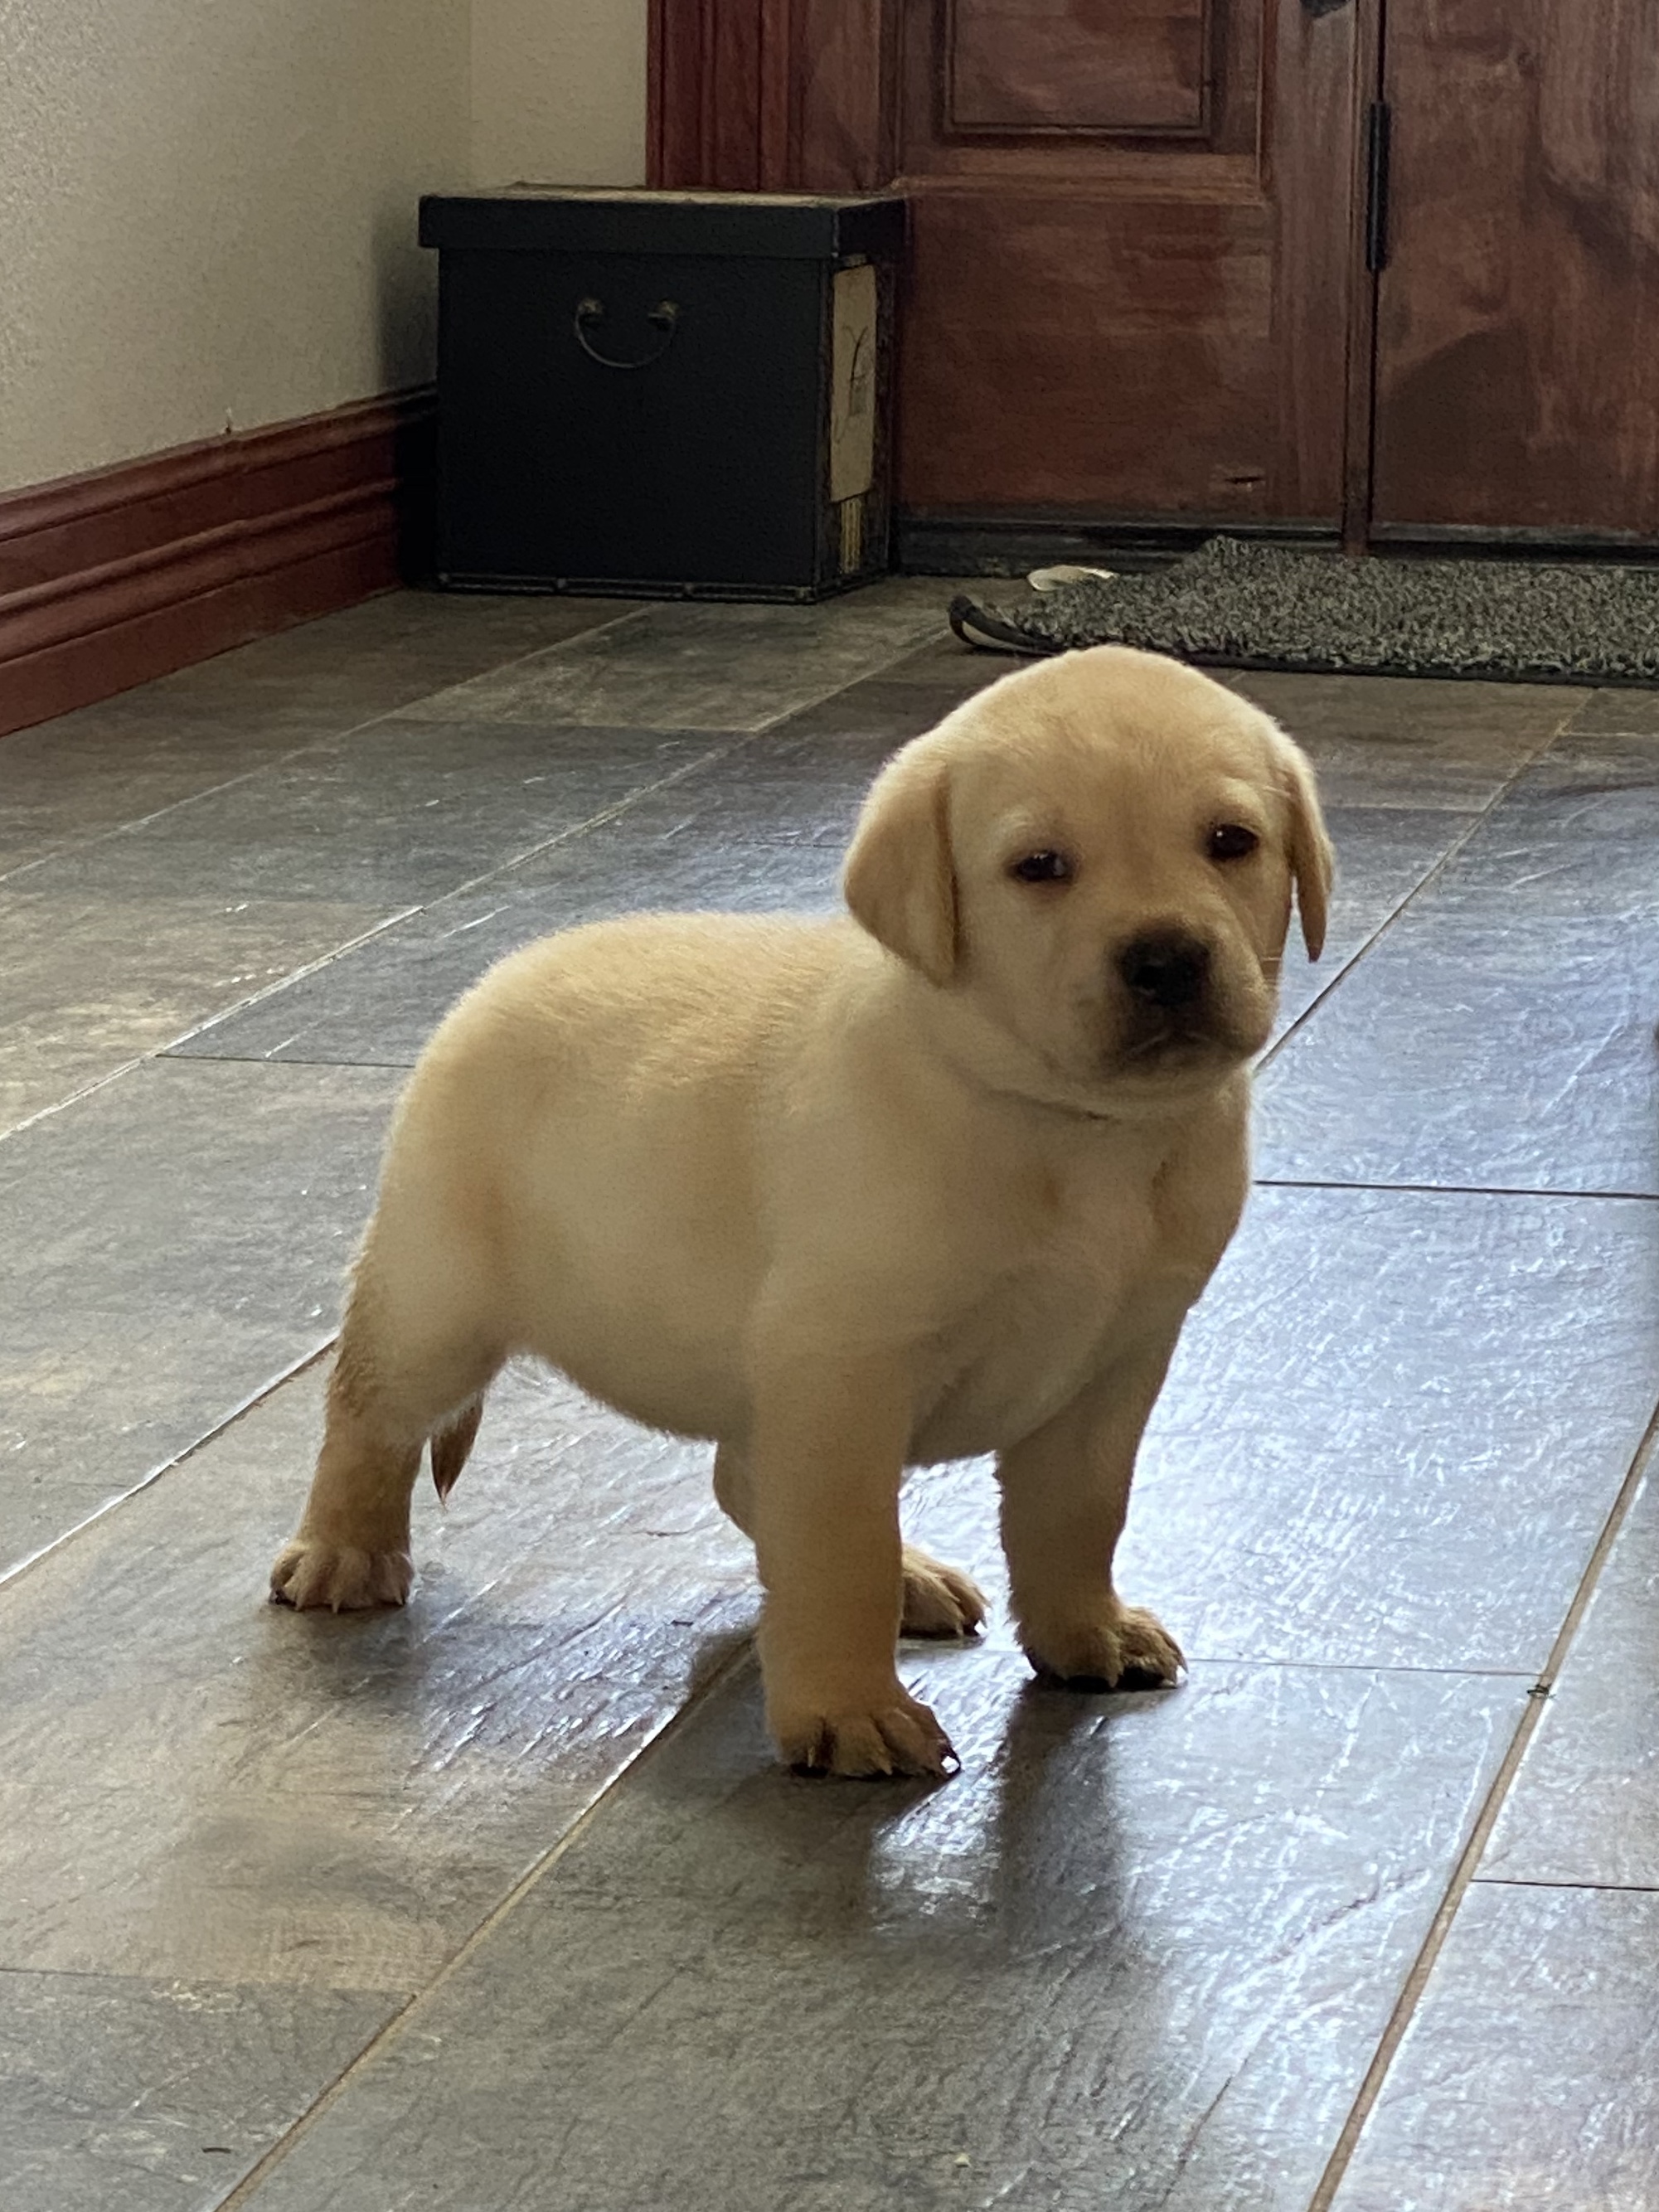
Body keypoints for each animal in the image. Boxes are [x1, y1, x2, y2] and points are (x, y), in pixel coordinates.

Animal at [276, 646, 1336, 1778]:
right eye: (1040, 866)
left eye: (1231, 842)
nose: (1167, 957)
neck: (1073, 1126)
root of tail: (499, 976)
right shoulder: (842, 1362)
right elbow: (840, 1547)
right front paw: (849, 1708)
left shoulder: (1117, 1361)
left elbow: (1079, 1512)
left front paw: (1084, 1629)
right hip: (439, 1291)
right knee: (369, 1414)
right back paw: (343, 1550)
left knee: (745, 1477)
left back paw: (916, 1576)